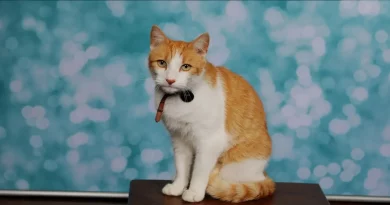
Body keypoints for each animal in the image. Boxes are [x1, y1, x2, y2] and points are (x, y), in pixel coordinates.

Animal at [148, 24, 276, 203]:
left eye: (185, 66)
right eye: (162, 63)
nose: (170, 80)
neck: (179, 99)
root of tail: (263, 175)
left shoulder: (210, 142)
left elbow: (199, 170)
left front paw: (194, 192)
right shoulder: (179, 139)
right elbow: (181, 166)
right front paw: (178, 187)